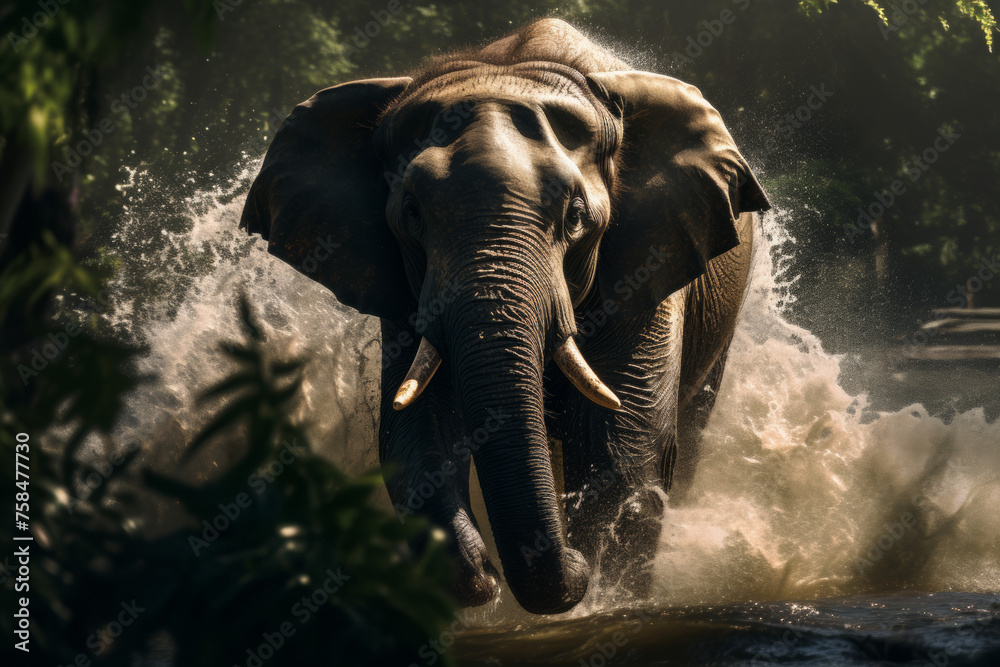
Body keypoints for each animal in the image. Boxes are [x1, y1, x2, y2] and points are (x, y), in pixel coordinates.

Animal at [239, 18, 769, 615]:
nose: (492, 578)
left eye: (575, 217)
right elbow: (413, 426)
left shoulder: (648, 257)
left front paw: (597, 595)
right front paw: (477, 578)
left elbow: (626, 441)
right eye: (411, 215)